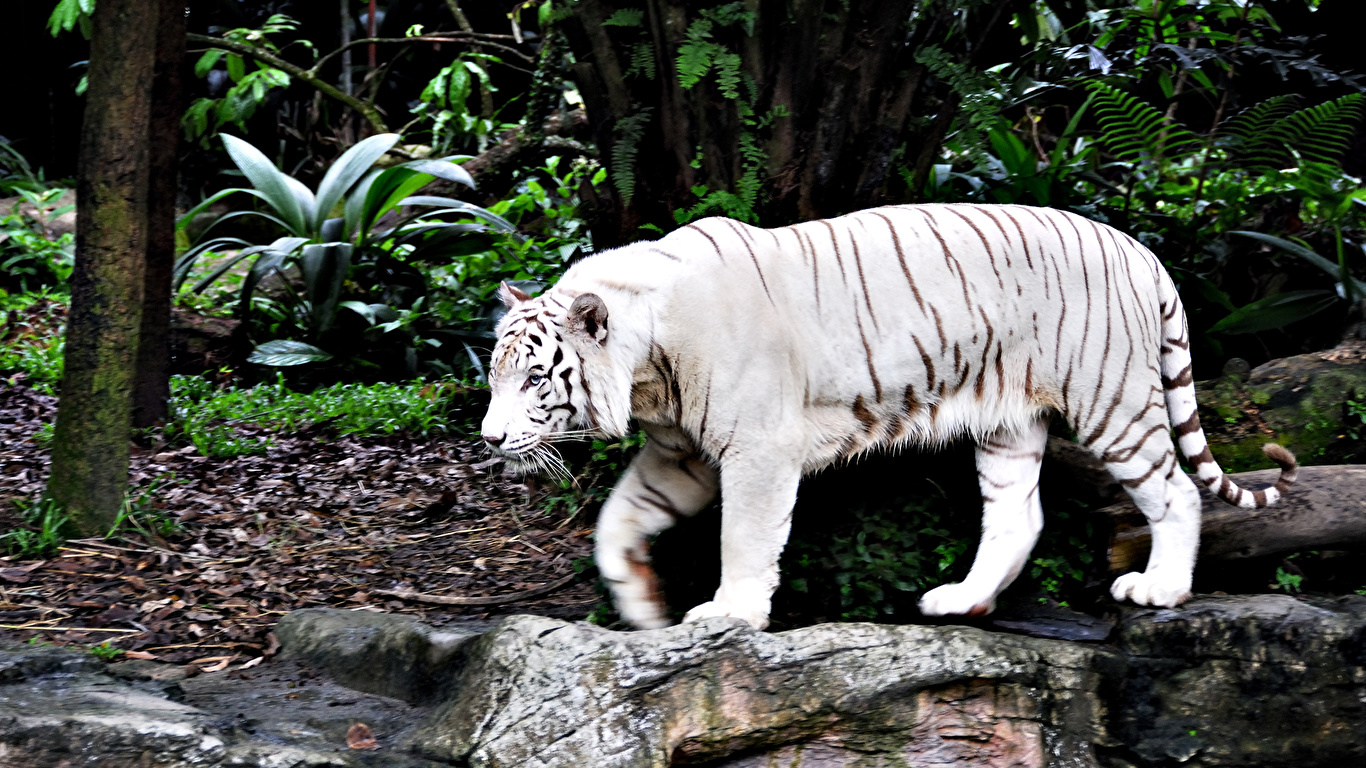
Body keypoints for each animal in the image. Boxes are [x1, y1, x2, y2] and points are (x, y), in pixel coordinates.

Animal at [480, 203, 1298, 630]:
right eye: (494, 376)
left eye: (533, 379)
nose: (489, 438)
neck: (649, 372)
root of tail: (1139, 249)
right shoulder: (682, 453)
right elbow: (618, 515)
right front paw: (641, 605)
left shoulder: (757, 449)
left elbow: (743, 538)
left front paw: (730, 614)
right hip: (1007, 424)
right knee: (1018, 516)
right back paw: (962, 599)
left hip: (1112, 401)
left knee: (1177, 490)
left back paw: (1160, 590)